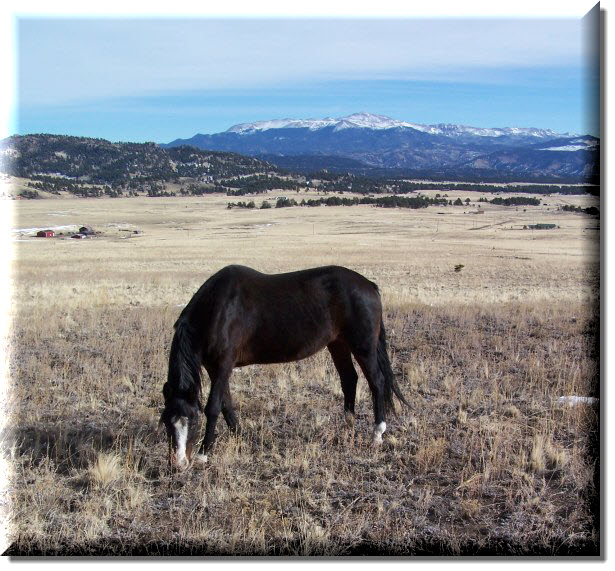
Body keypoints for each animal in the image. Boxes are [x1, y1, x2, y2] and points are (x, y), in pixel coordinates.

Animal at [161, 266, 406, 472]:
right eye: (165, 421)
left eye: (193, 420)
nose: (179, 464)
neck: (218, 309)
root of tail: (369, 285)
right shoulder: (216, 368)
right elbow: (226, 404)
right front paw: (241, 437)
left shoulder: (222, 366)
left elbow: (213, 407)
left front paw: (203, 454)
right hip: (338, 343)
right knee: (349, 379)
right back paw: (347, 426)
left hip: (363, 346)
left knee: (376, 382)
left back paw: (377, 434)